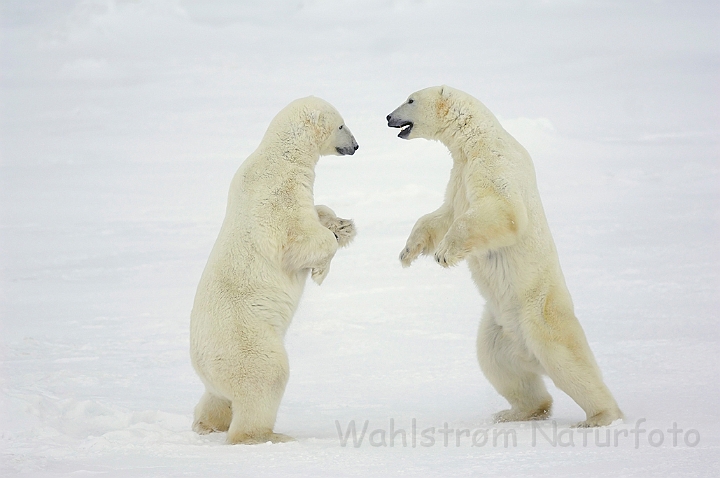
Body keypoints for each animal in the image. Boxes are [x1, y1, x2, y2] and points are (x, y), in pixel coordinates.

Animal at [190, 96, 358, 444]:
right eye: (340, 125)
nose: (356, 145)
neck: (281, 156)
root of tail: (199, 359)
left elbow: (318, 211)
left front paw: (342, 224)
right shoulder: (278, 195)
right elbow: (296, 239)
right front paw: (322, 265)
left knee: (217, 396)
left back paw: (205, 423)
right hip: (246, 341)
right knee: (266, 377)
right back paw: (267, 436)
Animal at [386, 85, 620, 426]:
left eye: (410, 100)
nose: (388, 116)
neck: (474, 137)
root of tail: (529, 354)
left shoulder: (492, 162)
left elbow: (502, 211)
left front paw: (444, 254)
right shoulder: (460, 174)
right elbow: (444, 214)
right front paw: (408, 251)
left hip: (538, 313)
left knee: (568, 360)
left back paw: (600, 416)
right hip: (498, 328)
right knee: (499, 365)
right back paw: (515, 412)